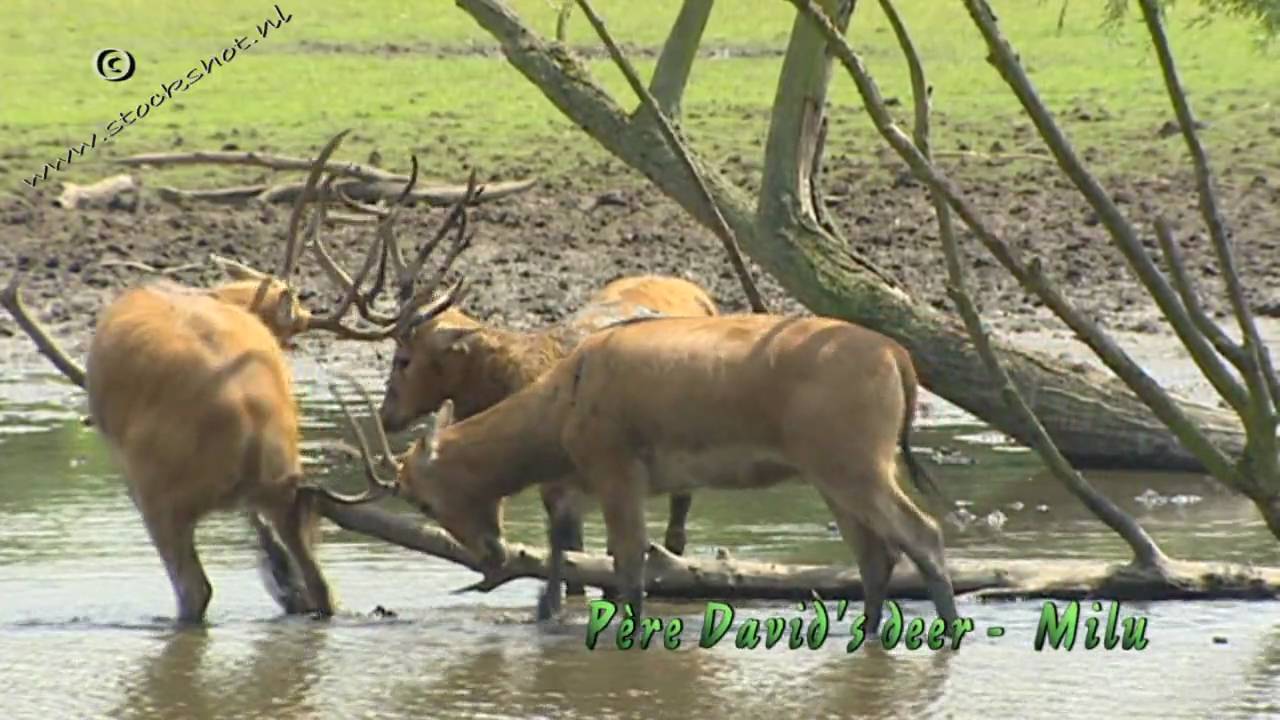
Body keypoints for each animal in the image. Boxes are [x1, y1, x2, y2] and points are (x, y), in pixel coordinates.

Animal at [310, 306, 962, 636]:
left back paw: (949, 636)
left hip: (854, 458)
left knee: (921, 533)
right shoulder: (581, 478)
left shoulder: (616, 465)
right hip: (833, 469)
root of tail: (899, 358)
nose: (491, 555)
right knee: (875, 553)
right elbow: (567, 548)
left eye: (419, 499)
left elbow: (627, 565)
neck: (559, 412)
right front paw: (546, 615)